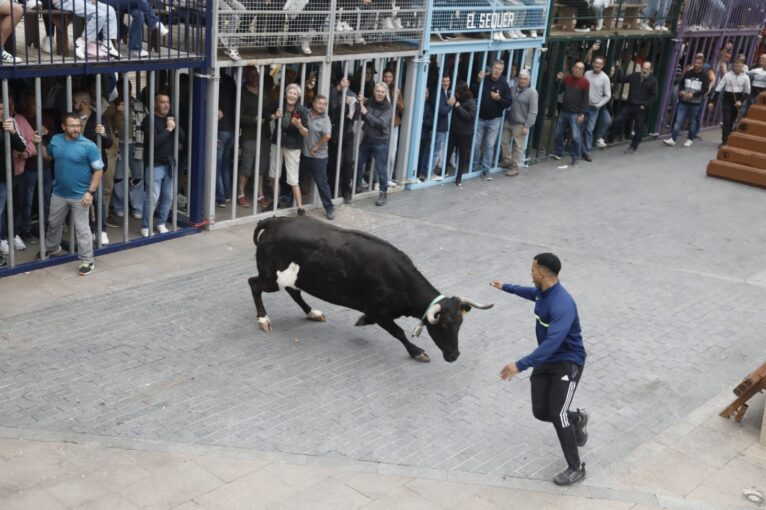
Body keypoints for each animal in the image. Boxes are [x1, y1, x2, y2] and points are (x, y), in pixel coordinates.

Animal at [249, 215, 496, 362]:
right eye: (444, 325)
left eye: (460, 324)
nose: (454, 355)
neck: (400, 280)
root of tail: (275, 221)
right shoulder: (379, 310)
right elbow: (398, 332)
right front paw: (417, 352)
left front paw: (362, 320)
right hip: (272, 278)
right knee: (254, 284)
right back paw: (263, 319)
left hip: (291, 278)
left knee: (293, 291)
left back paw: (312, 312)